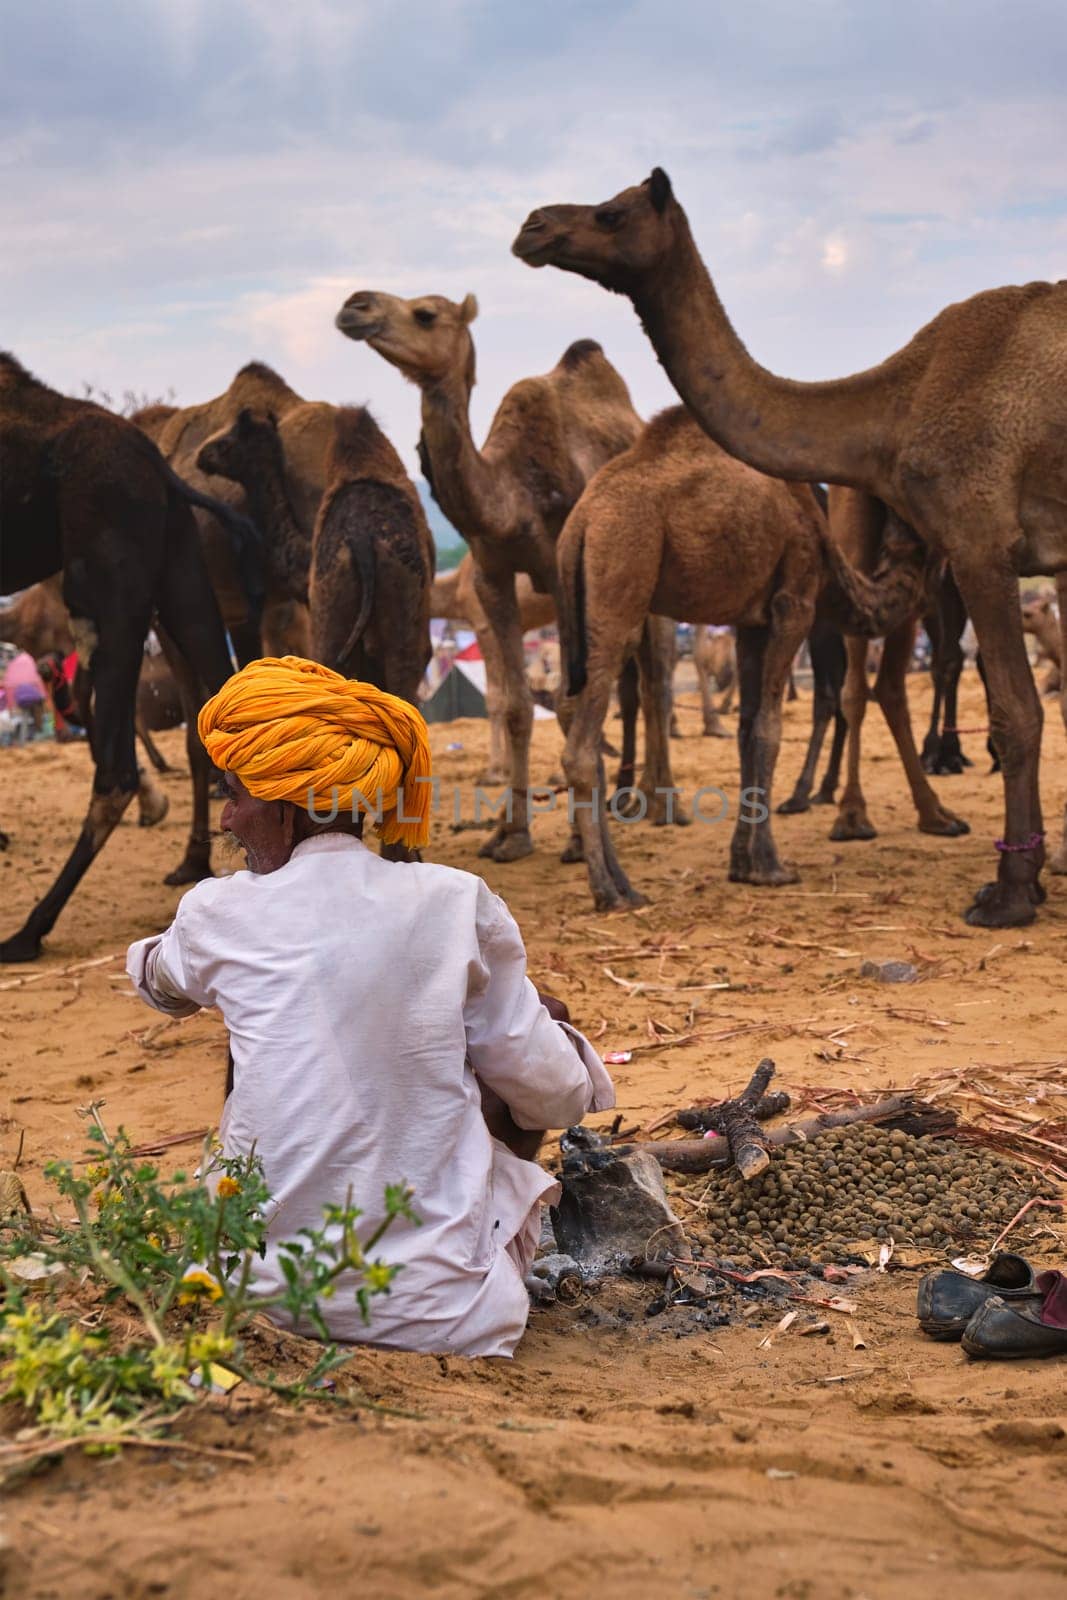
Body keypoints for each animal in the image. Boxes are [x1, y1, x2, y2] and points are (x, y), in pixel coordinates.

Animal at [337, 288, 646, 864]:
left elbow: (563, 702)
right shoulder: (492, 578)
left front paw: (576, 841)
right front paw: (511, 834)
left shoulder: (558, 574)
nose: (355, 305)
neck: (514, 496)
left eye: (426, 314)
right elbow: (520, 705)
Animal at [556, 406, 921, 915]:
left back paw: (623, 882)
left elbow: (747, 730)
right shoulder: (794, 602)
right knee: (583, 740)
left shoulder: (752, 622)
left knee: (569, 705)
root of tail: (581, 523)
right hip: (623, 569)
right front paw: (770, 866)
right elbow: (769, 729)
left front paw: (740, 863)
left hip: (574, 606)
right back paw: (611, 890)